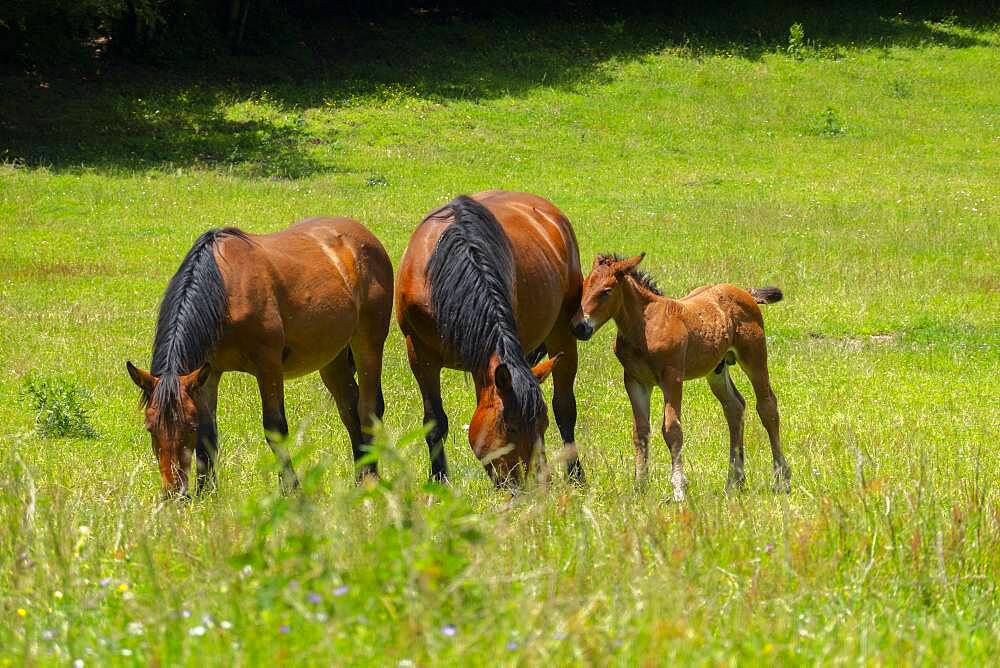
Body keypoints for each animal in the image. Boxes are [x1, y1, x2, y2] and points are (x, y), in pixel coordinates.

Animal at [123, 219, 392, 496]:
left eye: (189, 426)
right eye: (150, 428)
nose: (174, 492)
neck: (225, 290)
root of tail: (364, 235)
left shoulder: (268, 366)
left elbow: (275, 428)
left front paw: (291, 489)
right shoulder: (208, 374)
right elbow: (208, 436)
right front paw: (206, 492)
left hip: (368, 344)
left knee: (368, 408)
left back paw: (371, 477)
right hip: (332, 359)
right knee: (349, 409)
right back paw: (360, 476)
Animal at [396, 190, 584, 488]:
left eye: (542, 426)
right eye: (511, 427)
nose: (533, 485)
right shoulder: (419, 353)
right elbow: (435, 422)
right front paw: (439, 480)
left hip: (562, 333)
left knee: (565, 408)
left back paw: (576, 475)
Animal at [572, 254, 788, 500]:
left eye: (606, 291)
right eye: (583, 287)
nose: (579, 327)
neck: (645, 326)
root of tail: (746, 292)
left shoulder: (672, 378)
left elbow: (672, 429)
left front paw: (678, 489)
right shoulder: (635, 381)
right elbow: (640, 432)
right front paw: (640, 487)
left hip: (754, 357)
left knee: (767, 406)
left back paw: (781, 480)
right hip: (717, 368)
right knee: (734, 407)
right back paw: (734, 482)